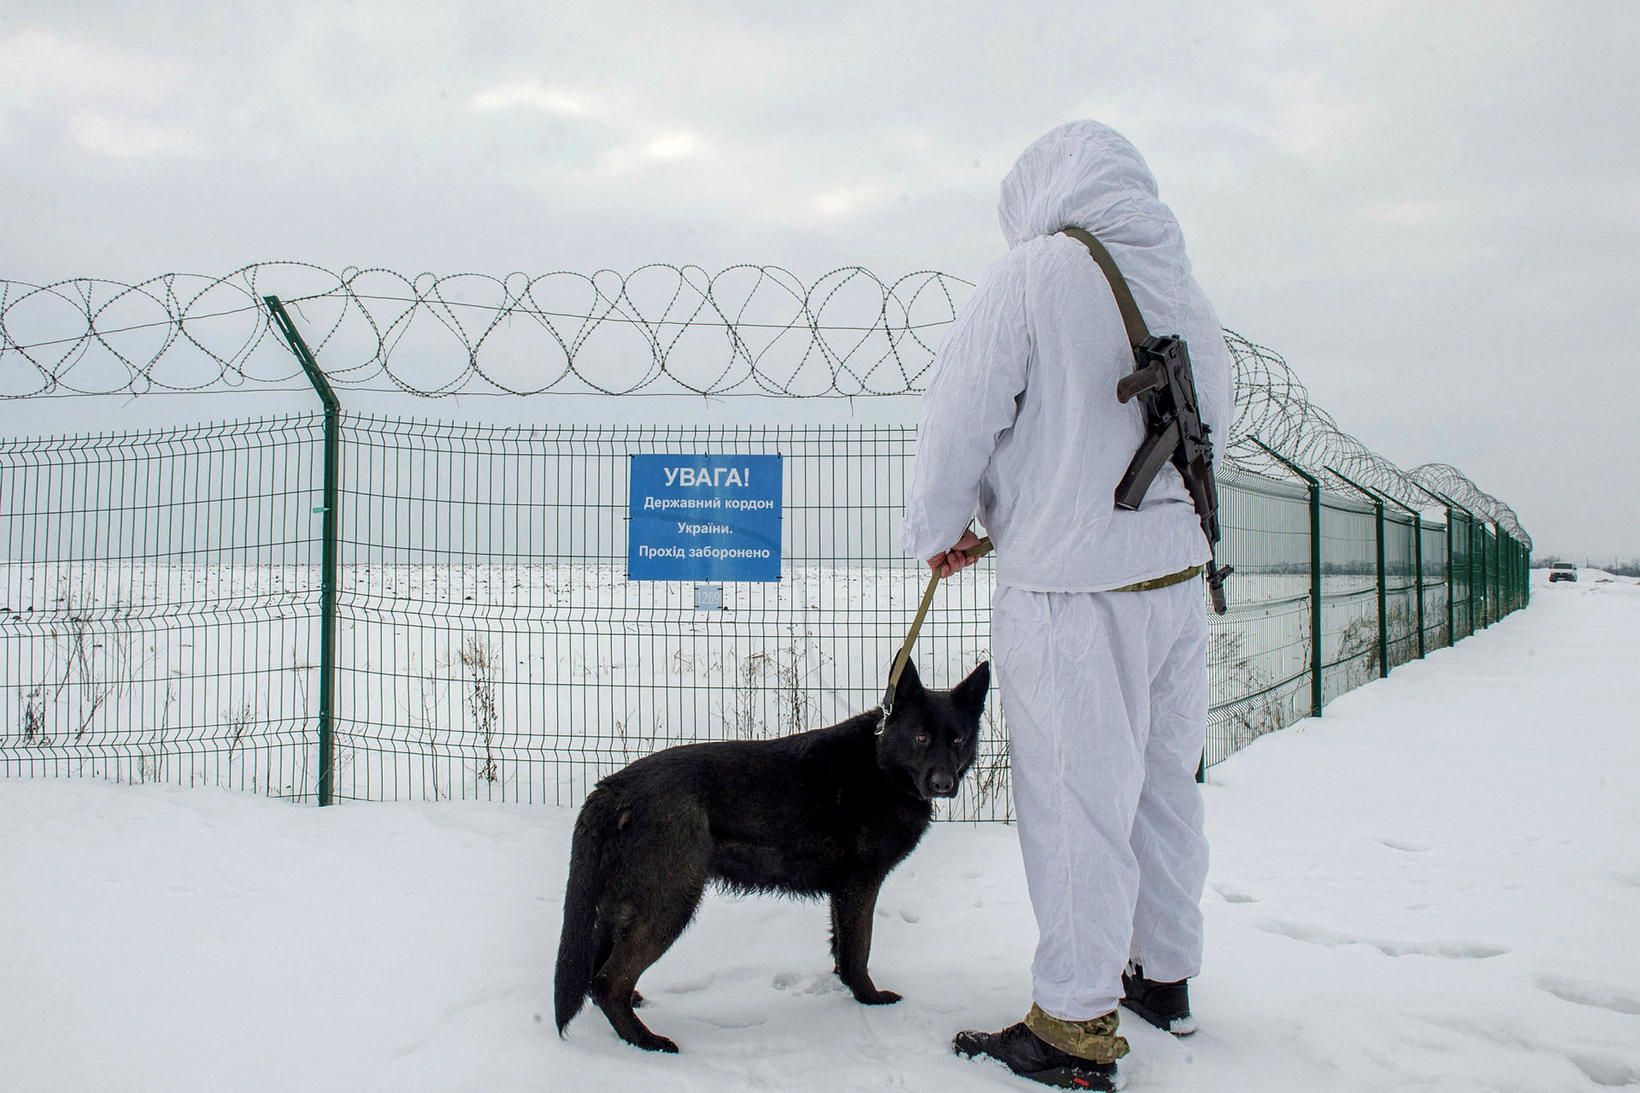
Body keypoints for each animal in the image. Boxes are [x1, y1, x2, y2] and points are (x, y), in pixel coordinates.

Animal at [554, 656, 984, 1050]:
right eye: (921, 738)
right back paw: (646, 1042)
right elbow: (859, 948)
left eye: (958, 740)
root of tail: (613, 788)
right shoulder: (861, 884)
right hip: (670, 903)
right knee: (608, 982)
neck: (880, 762)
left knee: (597, 974)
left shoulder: (843, 891)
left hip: (624, 906)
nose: (943, 784)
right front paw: (869, 997)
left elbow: (843, 948)